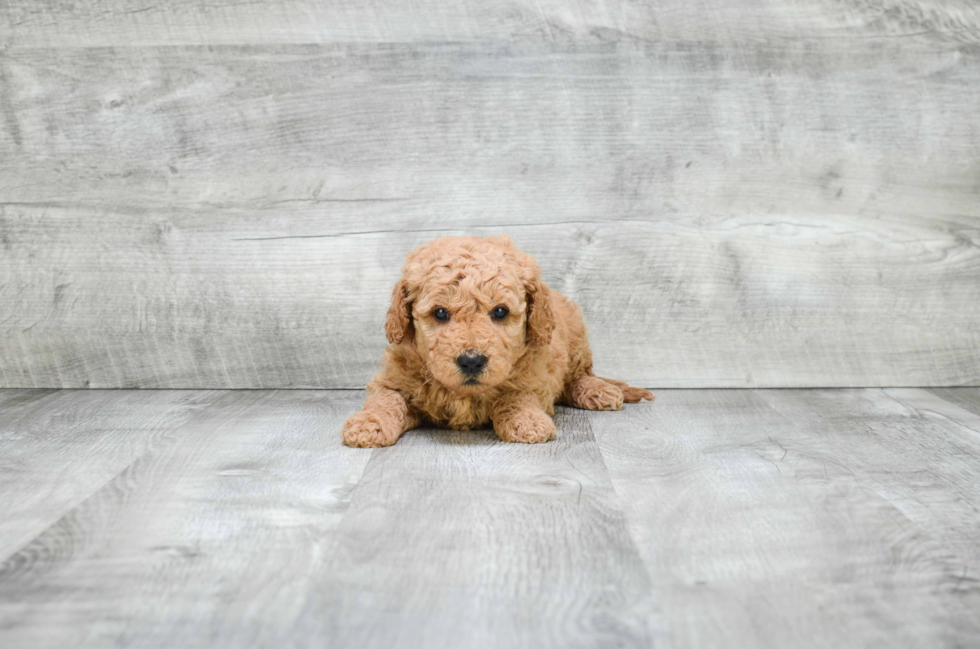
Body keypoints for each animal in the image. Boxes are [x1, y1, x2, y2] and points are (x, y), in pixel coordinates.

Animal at [340, 235, 656, 448]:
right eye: (440, 313)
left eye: (500, 312)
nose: (471, 361)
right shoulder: (393, 378)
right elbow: (386, 399)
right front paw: (368, 424)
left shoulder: (534, 376)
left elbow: (517, 396)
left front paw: (527, 421)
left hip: (575, 335)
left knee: (578, 376)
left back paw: (597, 391)